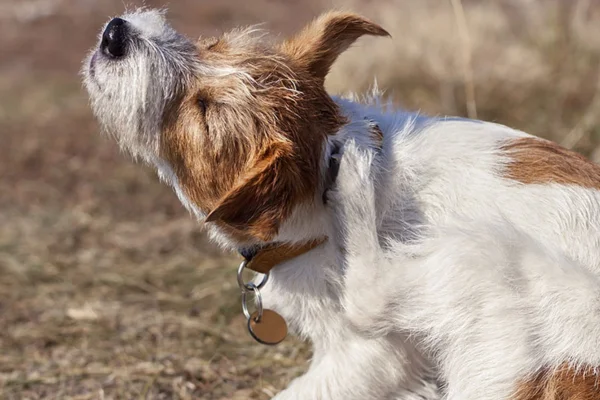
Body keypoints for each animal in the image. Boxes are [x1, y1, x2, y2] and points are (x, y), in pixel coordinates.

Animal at [82, 8, 600, 400]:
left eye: (205, 111)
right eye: (212, 47)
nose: (115, 33)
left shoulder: (370, 357)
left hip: (488, 255)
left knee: (371, 296)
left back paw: (354, 177)